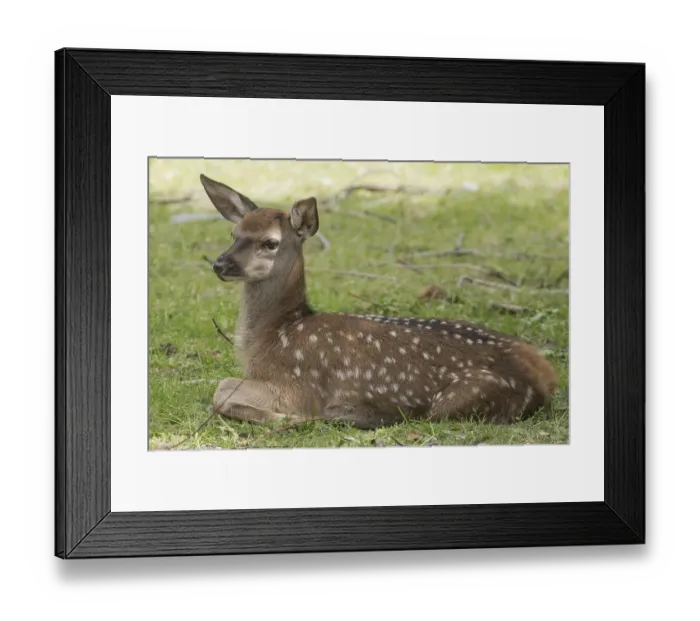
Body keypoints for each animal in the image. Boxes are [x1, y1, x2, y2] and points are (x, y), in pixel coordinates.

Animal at [200, 173, 558, 430]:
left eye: (270, 243)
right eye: (234, 233)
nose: (219, 264)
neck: (274, 333)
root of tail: (546, 378)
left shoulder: (298, 387)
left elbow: (221, 389)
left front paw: (290, 420)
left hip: (460, 400)